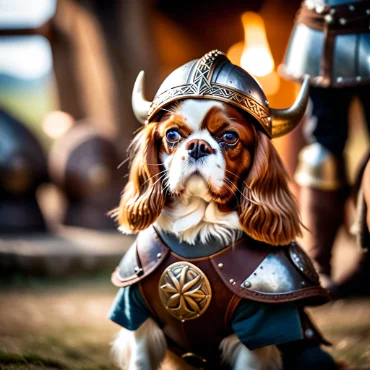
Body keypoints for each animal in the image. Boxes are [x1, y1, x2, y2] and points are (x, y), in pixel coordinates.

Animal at [107, 51, 336, 370]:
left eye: (229, 137)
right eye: (172, 134)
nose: (197, 146)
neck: (197, 233)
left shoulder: (258, 330)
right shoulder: (138, 318)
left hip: (312, 354)